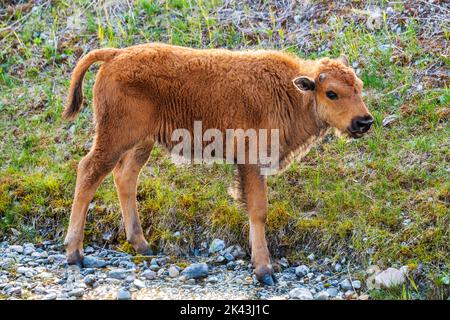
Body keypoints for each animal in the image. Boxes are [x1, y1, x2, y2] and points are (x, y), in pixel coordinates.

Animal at [63, 42, 372, 284]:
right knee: (89, 172)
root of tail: (116, 54)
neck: (291, 92)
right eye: (331, 93)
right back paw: (75, 253)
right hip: (115, 137)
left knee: (124, 177)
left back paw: (141, 244)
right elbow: (258, 210)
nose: (364, 122)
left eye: (359, 87)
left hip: (142, 142)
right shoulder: (251, 161)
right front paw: (264, 270)